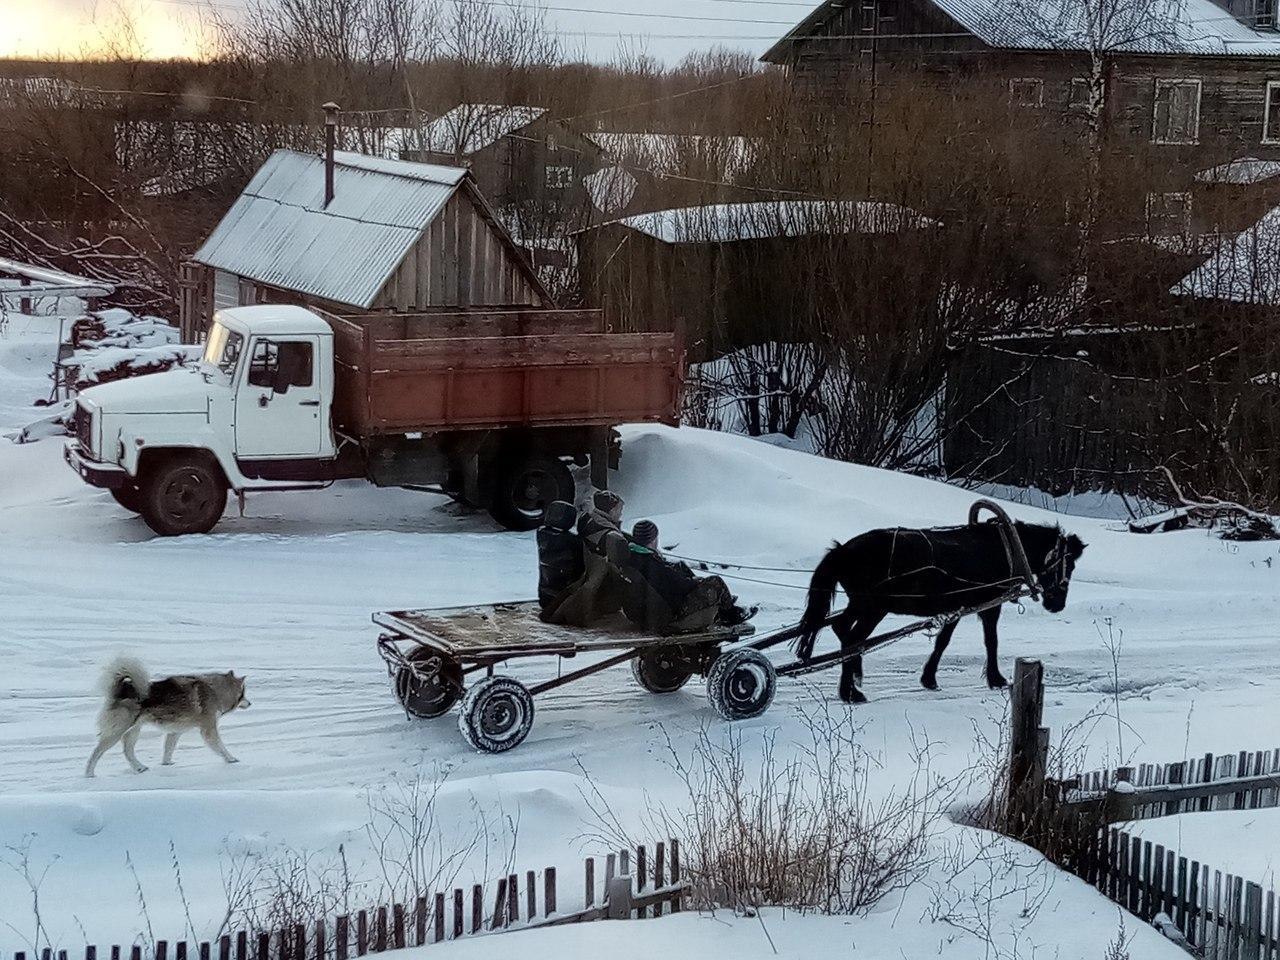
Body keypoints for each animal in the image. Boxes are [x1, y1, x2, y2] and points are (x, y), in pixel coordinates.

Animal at [85, 660, 252, 778]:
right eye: (243, 694)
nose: (250, 703)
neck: (217, 691)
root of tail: (121, 689)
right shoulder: (208, 729)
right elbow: (221, 748)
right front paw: (231, 759)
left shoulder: (175, 732)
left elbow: (168, 750)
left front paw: (167, 765)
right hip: (117, 732)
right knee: (96, 753)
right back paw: (89, 774)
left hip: (134, 731)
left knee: (128, 751)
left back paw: (140, 767)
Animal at [793, 522, 1085, 701]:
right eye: (1067, 564)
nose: (1057, 604)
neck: (1006, 549)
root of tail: (842, 550)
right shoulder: (991, 605)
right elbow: (991, 641)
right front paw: (997, 679)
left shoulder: (956, 607)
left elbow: (943, 641)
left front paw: (929, 678)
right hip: (873, 607)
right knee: (854, 639)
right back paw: (851, 693)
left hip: (859, 604)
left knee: (842, 630)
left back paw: (854, 677)